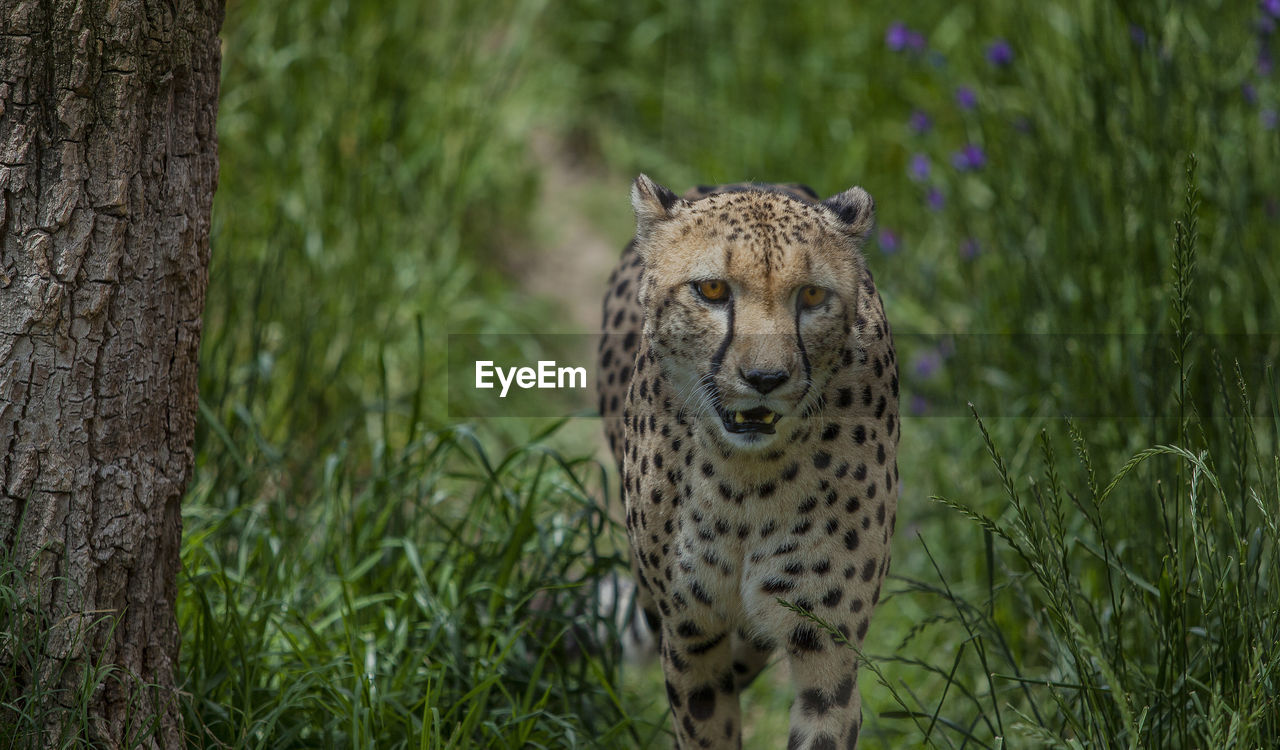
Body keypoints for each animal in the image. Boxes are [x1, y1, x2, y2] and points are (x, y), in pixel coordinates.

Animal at [599, 176, 901, 747]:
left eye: (812, 295)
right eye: (713, 291)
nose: (765, 378)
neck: (745, 481)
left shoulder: (827, 646)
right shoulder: (689, 631)